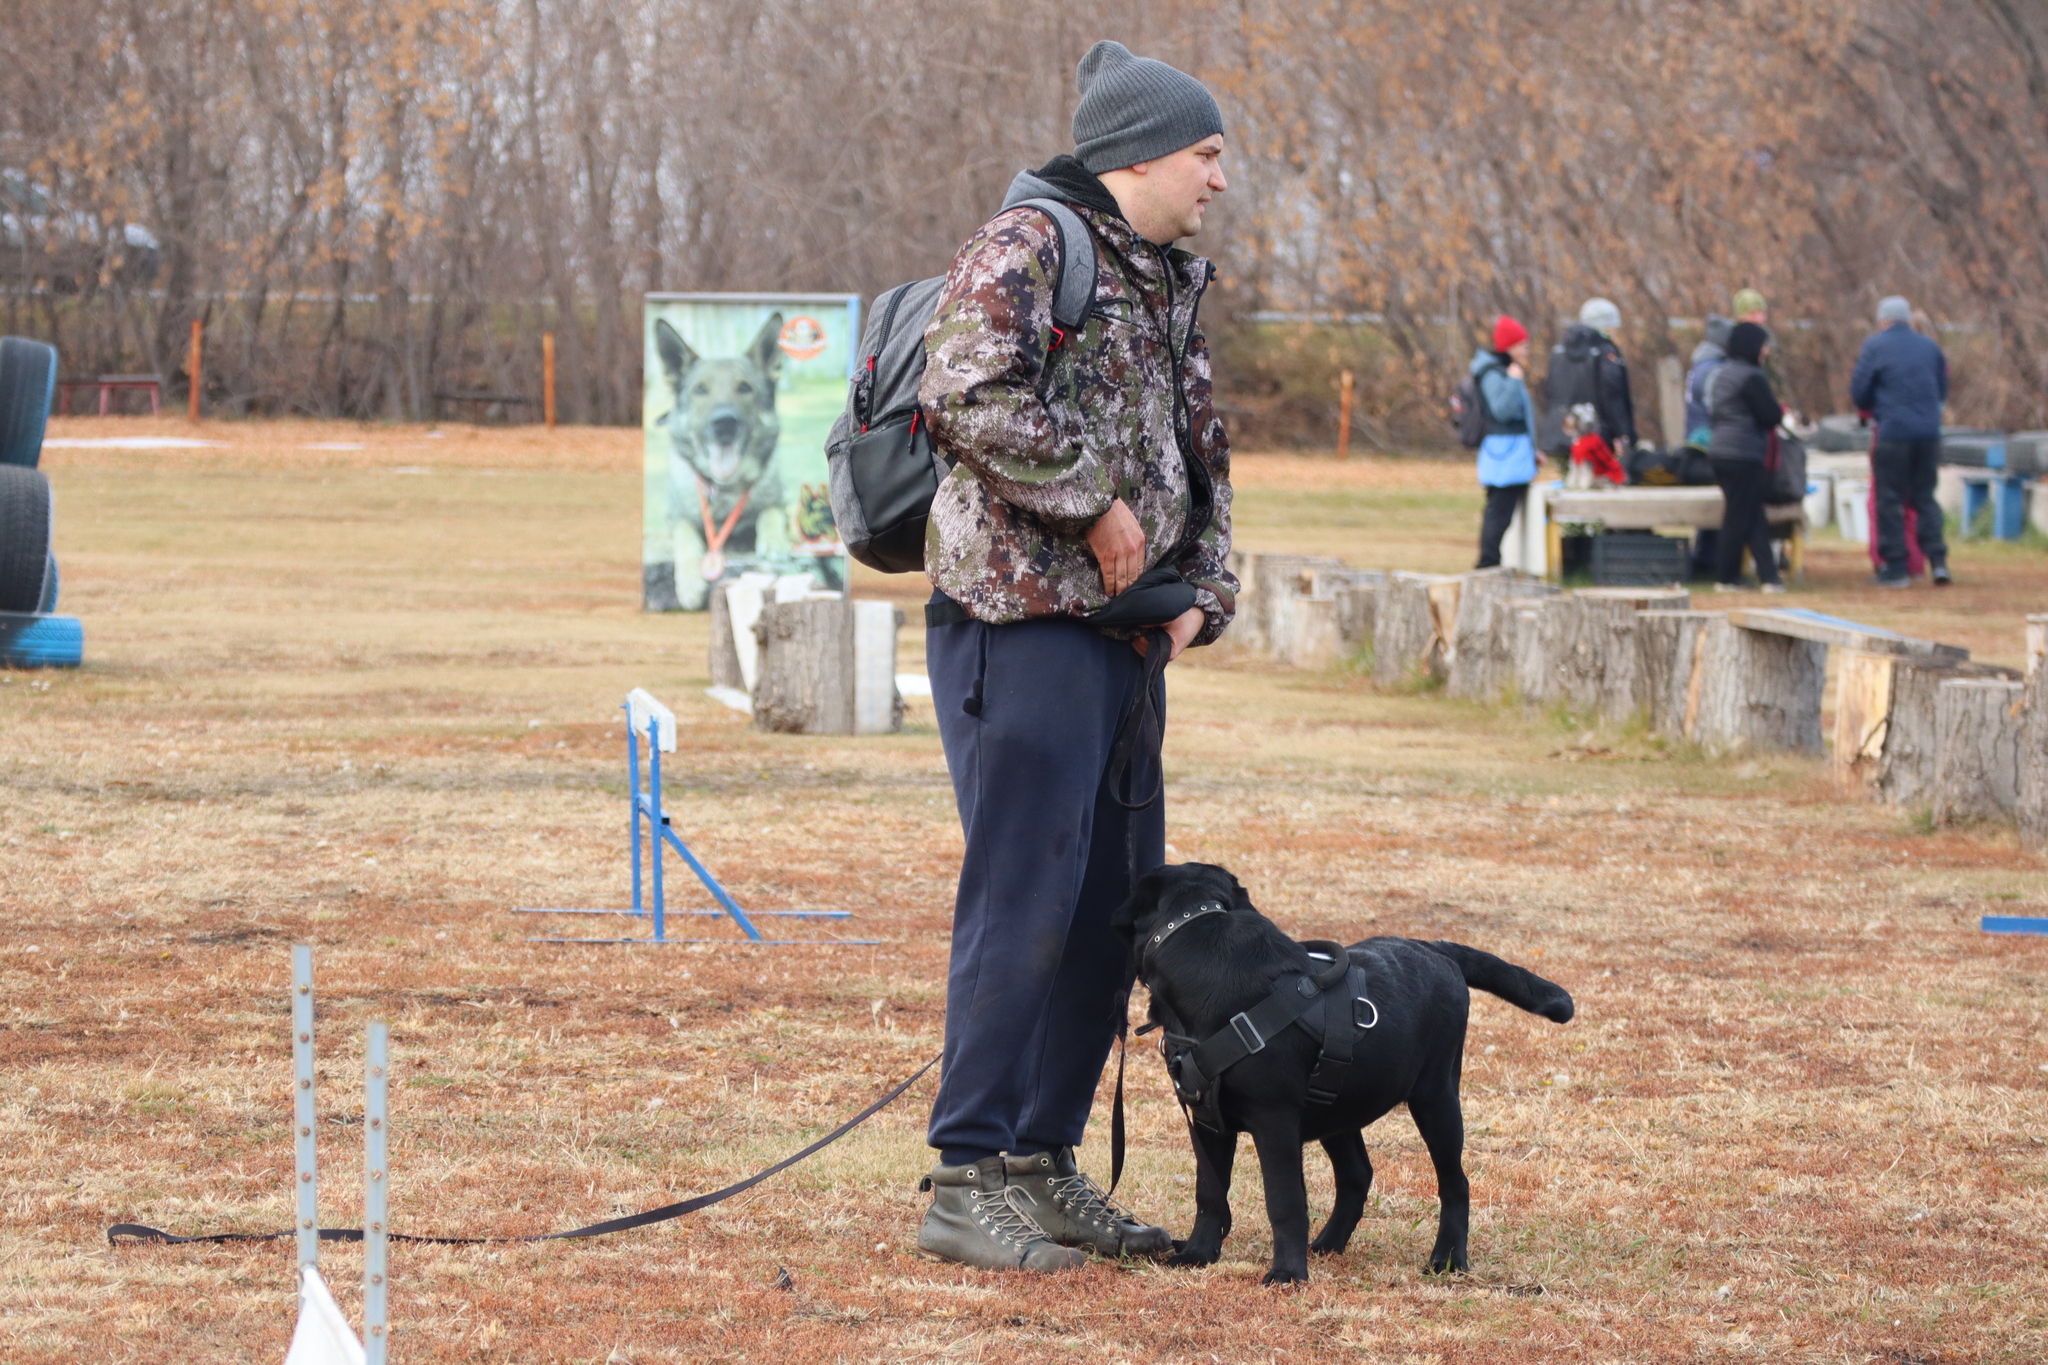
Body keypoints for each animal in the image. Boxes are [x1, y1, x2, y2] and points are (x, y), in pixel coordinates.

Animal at [1114, 871, 1572, 1285]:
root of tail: (1433, 947)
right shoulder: (1207, 1120)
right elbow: (1210, 1191)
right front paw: (1197, 1254)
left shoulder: (1274, 1122)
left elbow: (1285, 1200)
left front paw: (1287, 1273)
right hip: (1339, 1108)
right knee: (1357, 1174)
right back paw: (1328, 1244)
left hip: (1436, 1097)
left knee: (1454, 1182)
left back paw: (1447, 1258)